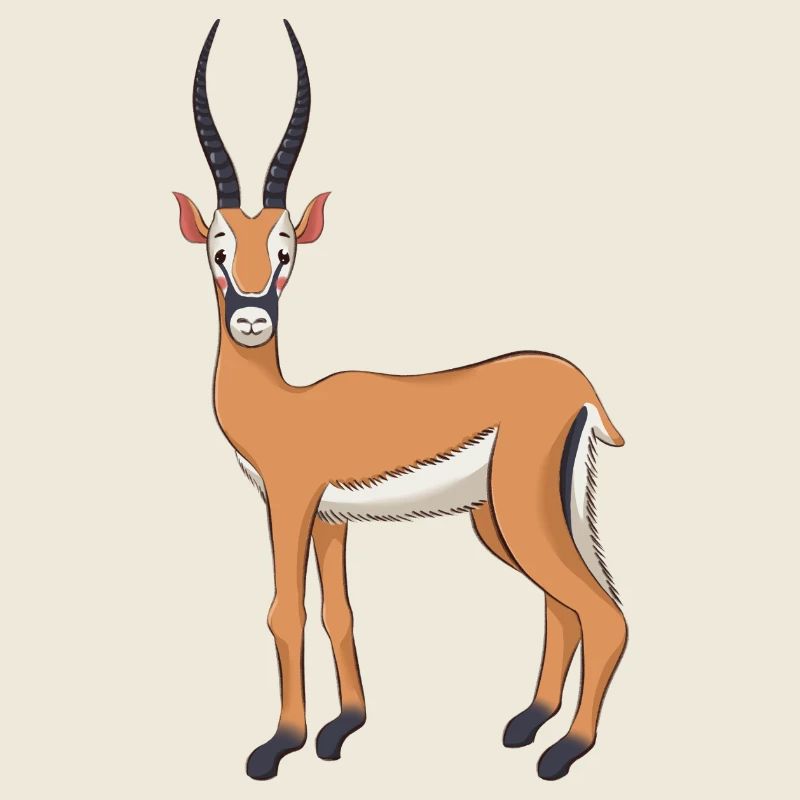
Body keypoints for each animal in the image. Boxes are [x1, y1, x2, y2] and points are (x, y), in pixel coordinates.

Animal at [175, 19, 628, 783]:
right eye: (217, 247)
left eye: (286, 249)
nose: (251, 319)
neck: (286, 405)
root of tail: (581, 388)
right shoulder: (331, 519)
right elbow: (340, 612)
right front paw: (340, 731)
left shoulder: (290, 503)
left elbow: (285, 611)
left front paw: (277, 747)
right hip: (501, 520)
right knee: (562, 608)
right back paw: (527, 723)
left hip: (519, 514)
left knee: (600, 613)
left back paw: (564, 751)